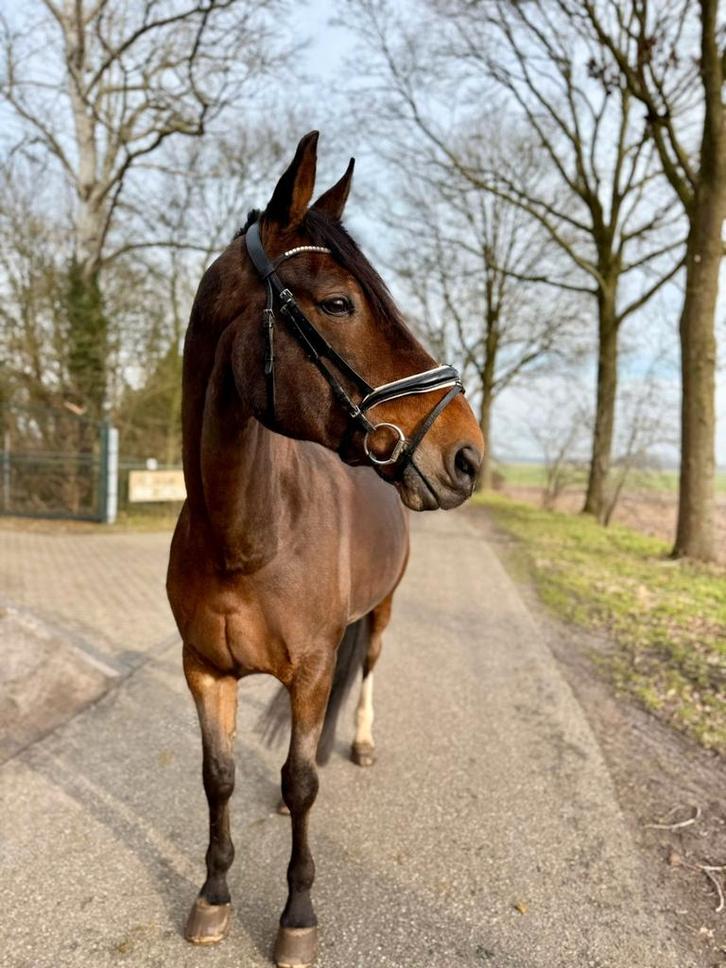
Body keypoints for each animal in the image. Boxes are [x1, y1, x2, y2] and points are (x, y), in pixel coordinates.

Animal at [166, 131, 484, 967]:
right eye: (338, 304)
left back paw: (361, 743)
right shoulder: (205, 670)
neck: (247, 536)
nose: (468, 455)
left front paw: (297, 917)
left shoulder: (309, 670)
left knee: (364, 669)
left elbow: (303, 781)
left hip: (383, 610)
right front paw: (213, 897)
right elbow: (218, 779)